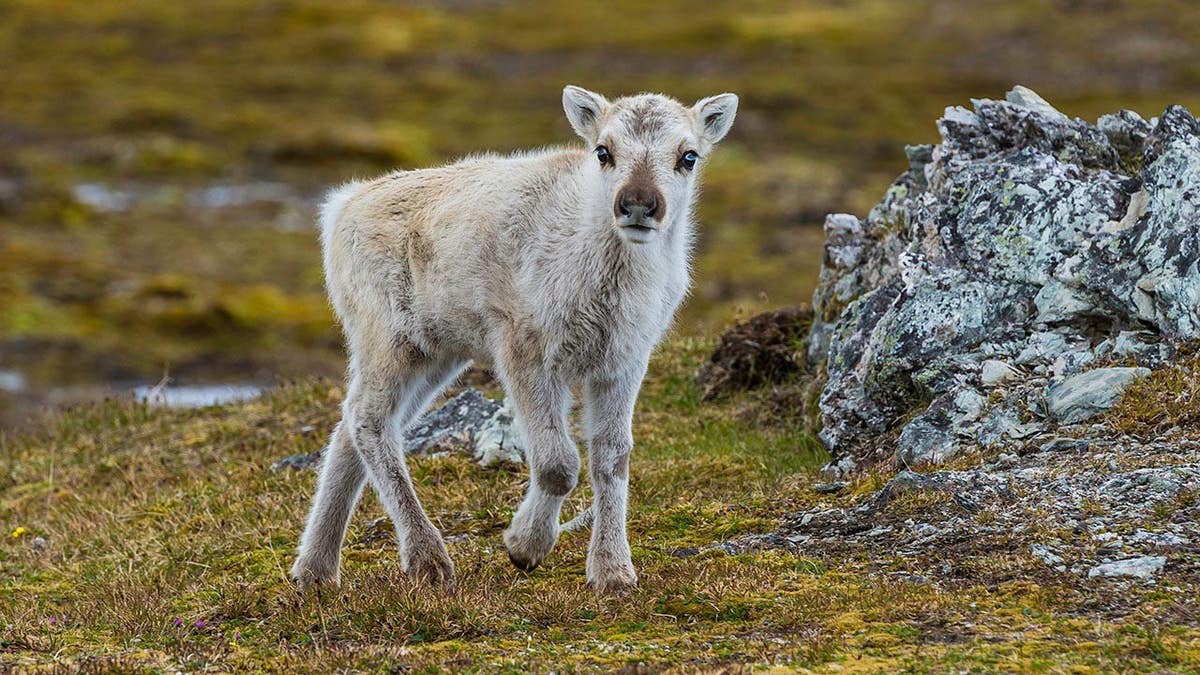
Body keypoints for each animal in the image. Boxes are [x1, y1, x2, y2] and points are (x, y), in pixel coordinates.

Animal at [291, 85, 738, 595]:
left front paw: (613, 573)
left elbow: (612, 457)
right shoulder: (524, 350)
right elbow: (558, 464)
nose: (639, 204)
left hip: (437, 352)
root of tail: (340, 207)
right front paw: (524, 546)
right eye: (603, 151)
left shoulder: (623, 359)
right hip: (388, 338)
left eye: (689, 156)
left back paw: (315, 570)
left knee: (350, 425)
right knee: (368, 421)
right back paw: (426, 559)